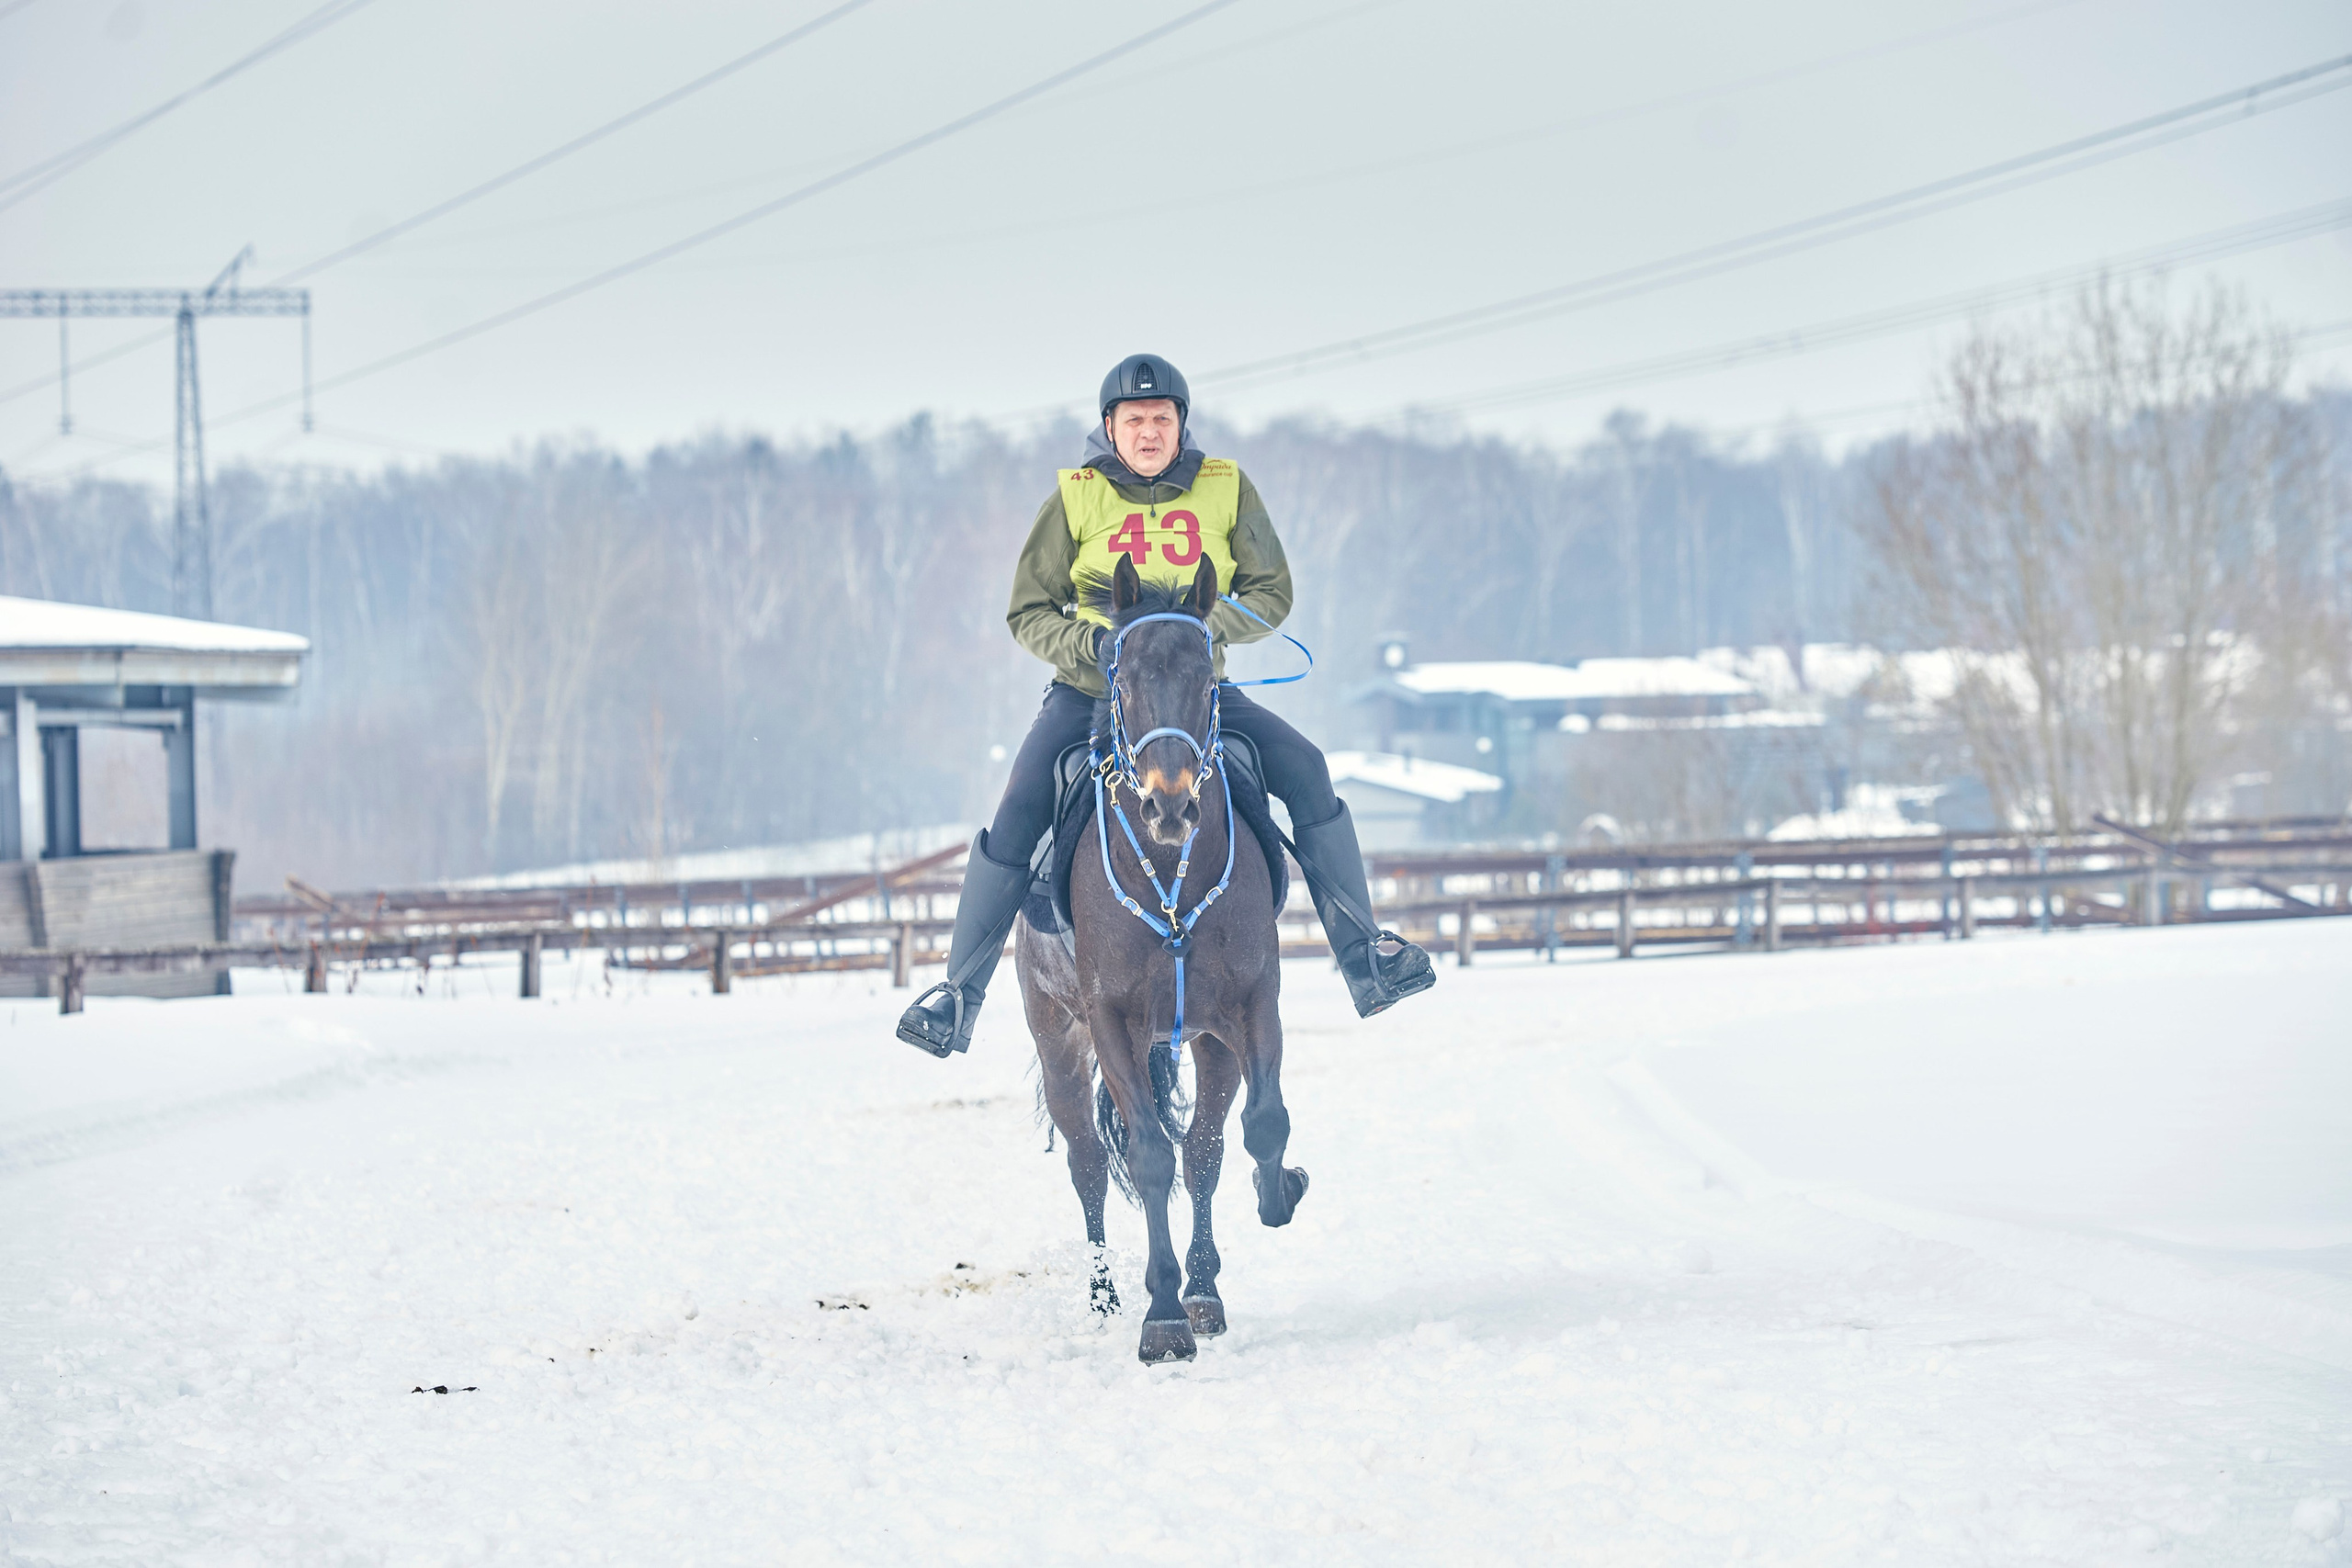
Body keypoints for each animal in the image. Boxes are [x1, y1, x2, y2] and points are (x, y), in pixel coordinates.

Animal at [1013, 553, 1310, 1365]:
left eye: (1207, 676)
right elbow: (1147, 1156)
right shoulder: (1110, 1022)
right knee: (1088, 1163)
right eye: (1121, 675)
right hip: (1058, 1038)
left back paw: (1204, 1288)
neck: (1171, 875)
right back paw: (1107, 1295)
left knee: (1203, 1148)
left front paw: (1279, 1193)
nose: (1168, 804)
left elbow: (1254, 1128)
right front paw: (1163, 1317)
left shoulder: (1246, 1008)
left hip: (1198, 1038)